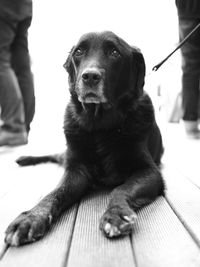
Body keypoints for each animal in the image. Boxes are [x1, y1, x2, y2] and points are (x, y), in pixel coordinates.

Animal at [4, 31, 165, 247]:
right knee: (57, 155)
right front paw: (31, 217)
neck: (100, 125)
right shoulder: (76, 170)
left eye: (114, 52)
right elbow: (55, 192)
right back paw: (25, 158)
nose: (90, 76)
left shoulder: (149, 171)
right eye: (79, 51)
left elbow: (121, 189)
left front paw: (116, 213)